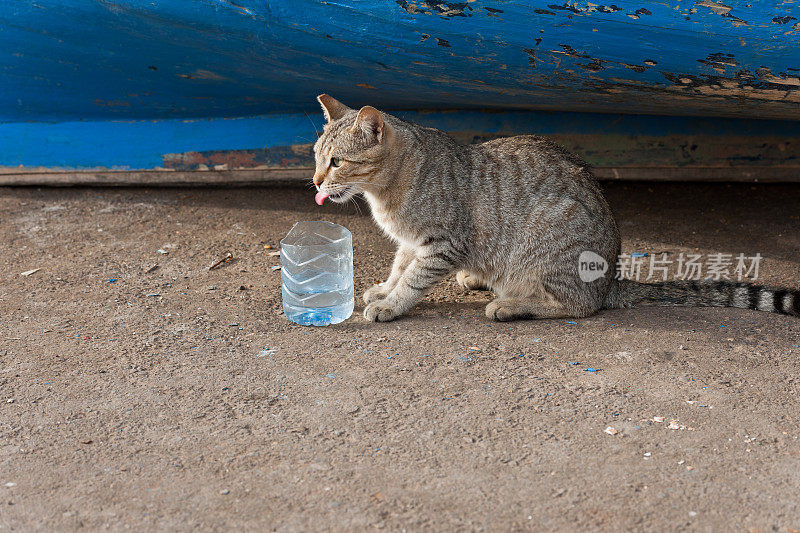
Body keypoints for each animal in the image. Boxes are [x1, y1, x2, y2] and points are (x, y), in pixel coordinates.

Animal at [310, 93, 800, 322]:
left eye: (337, 162)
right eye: (316, 156)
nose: (314, 180)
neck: (385, 193)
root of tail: (611, 281)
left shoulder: (441, 242)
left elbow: (412, 280)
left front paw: (392, 305)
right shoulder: (413, 242)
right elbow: (399, 268)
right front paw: (384, 290)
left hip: (551, 239)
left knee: (578, 305)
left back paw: (511, 305)